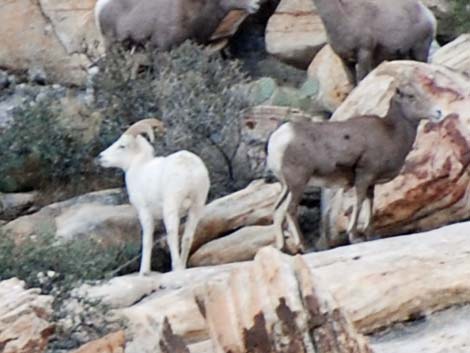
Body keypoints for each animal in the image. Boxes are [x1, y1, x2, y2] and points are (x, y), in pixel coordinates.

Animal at [98, 119, 210, 274]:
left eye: (122, 145)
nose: (100, 157)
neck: (139, 168)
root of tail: (190, 168)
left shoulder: (144, 212)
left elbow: (147, 240)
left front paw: (144, 272)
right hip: (197, 206)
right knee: (188, 237)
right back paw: (182, 267)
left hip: (171, 206)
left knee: (172, 233)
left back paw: (176, 267)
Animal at [268, 78, 444, 250]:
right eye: (411, 96)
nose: (439, 112)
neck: (391, 133)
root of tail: (278, 139)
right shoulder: (364, 175)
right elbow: (359, 202)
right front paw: (354, 237)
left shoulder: (371, 182)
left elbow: (369, 202)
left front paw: (371, 234)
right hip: (298, 183)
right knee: (290, 209)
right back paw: (304, 246)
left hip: (286, 186)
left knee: (278, 209)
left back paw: (282, 248)